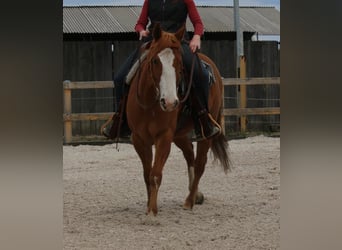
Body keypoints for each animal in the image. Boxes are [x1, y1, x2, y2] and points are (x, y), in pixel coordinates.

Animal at [125, 23, 230, 215]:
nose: (170, 102)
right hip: (179, 134)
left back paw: (190, 200)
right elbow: (147, 174)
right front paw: (149, 205)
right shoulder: (139, 139)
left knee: (200, 163)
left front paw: (152, 212)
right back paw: (196, 195)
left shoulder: (164, 136)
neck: (151, 104)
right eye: (155, 61)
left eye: (180, 64)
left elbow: (155, 174)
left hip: (205, 132)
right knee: (189, 153)